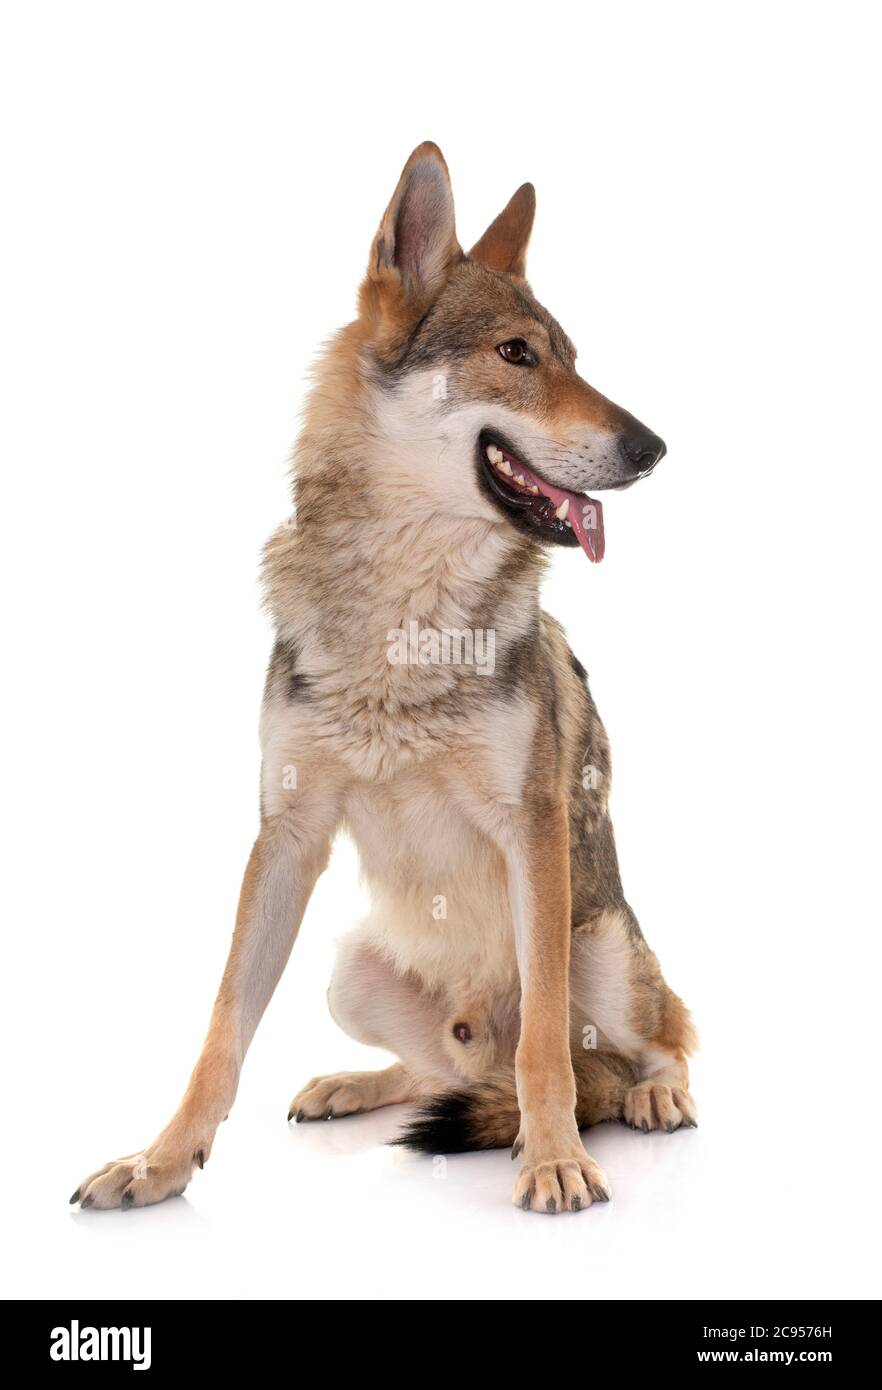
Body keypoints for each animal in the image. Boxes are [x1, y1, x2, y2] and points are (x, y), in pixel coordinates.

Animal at [70, 143, 697, 1217]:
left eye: (572, 356)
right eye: (517, 355)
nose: (652, 449)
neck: (406, 608)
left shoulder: (532, 830)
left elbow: (545, 1049)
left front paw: (554, 1161)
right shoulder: (285, 838)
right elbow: (221, 1031)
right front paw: (160, 1163)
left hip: (601, 941)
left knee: (643, 1049)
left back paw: (648, 1100)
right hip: (347, 974)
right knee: (444, 1074)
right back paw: (353, 1085)